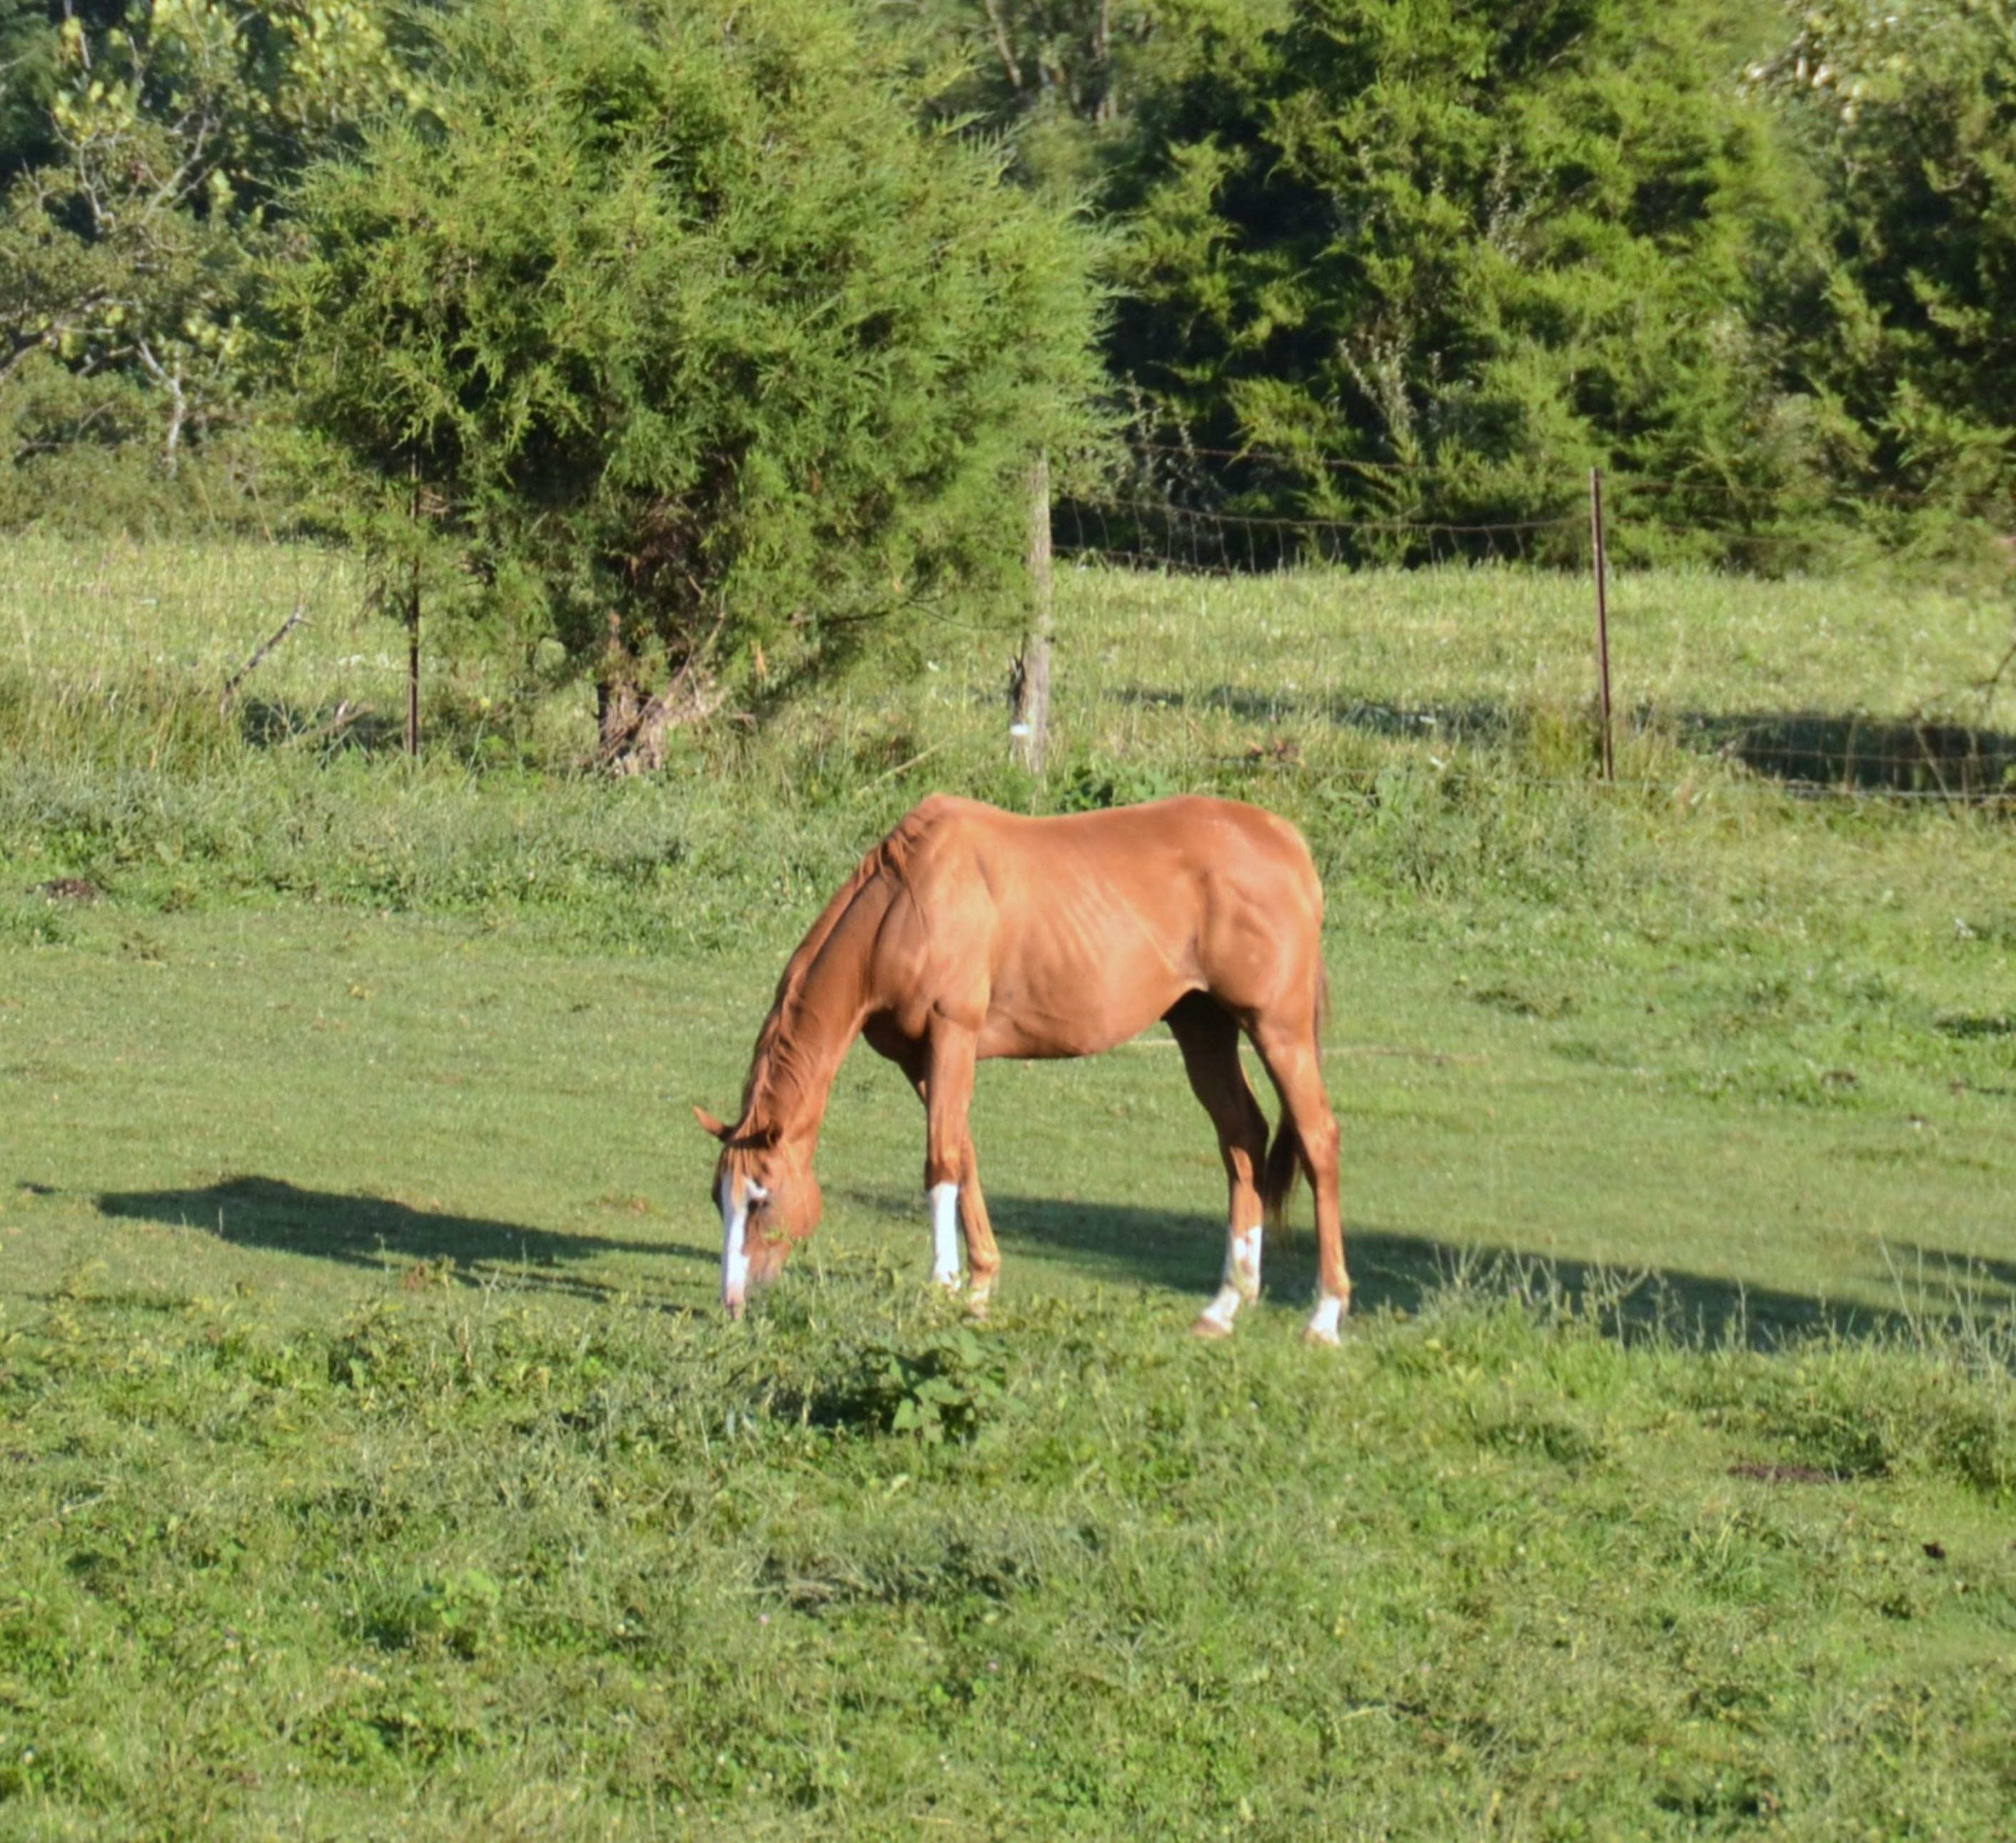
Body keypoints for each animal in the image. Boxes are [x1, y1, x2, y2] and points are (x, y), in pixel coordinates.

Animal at [695, 793, 1349, 1343]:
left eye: (761, 1199)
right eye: (718, 1200)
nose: (733, 1302)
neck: (908, 903)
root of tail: (1285, 839)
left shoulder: (952, 1035)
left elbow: (940, 1163)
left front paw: (942, 1288)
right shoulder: (920, 1061)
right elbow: (963, 1156)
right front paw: (979, 1287)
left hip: (1278, 1029)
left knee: (1318, 1141)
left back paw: (1324, 1315)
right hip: (1202, 1026)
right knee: (1243, 1137)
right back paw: (1225, 1304)